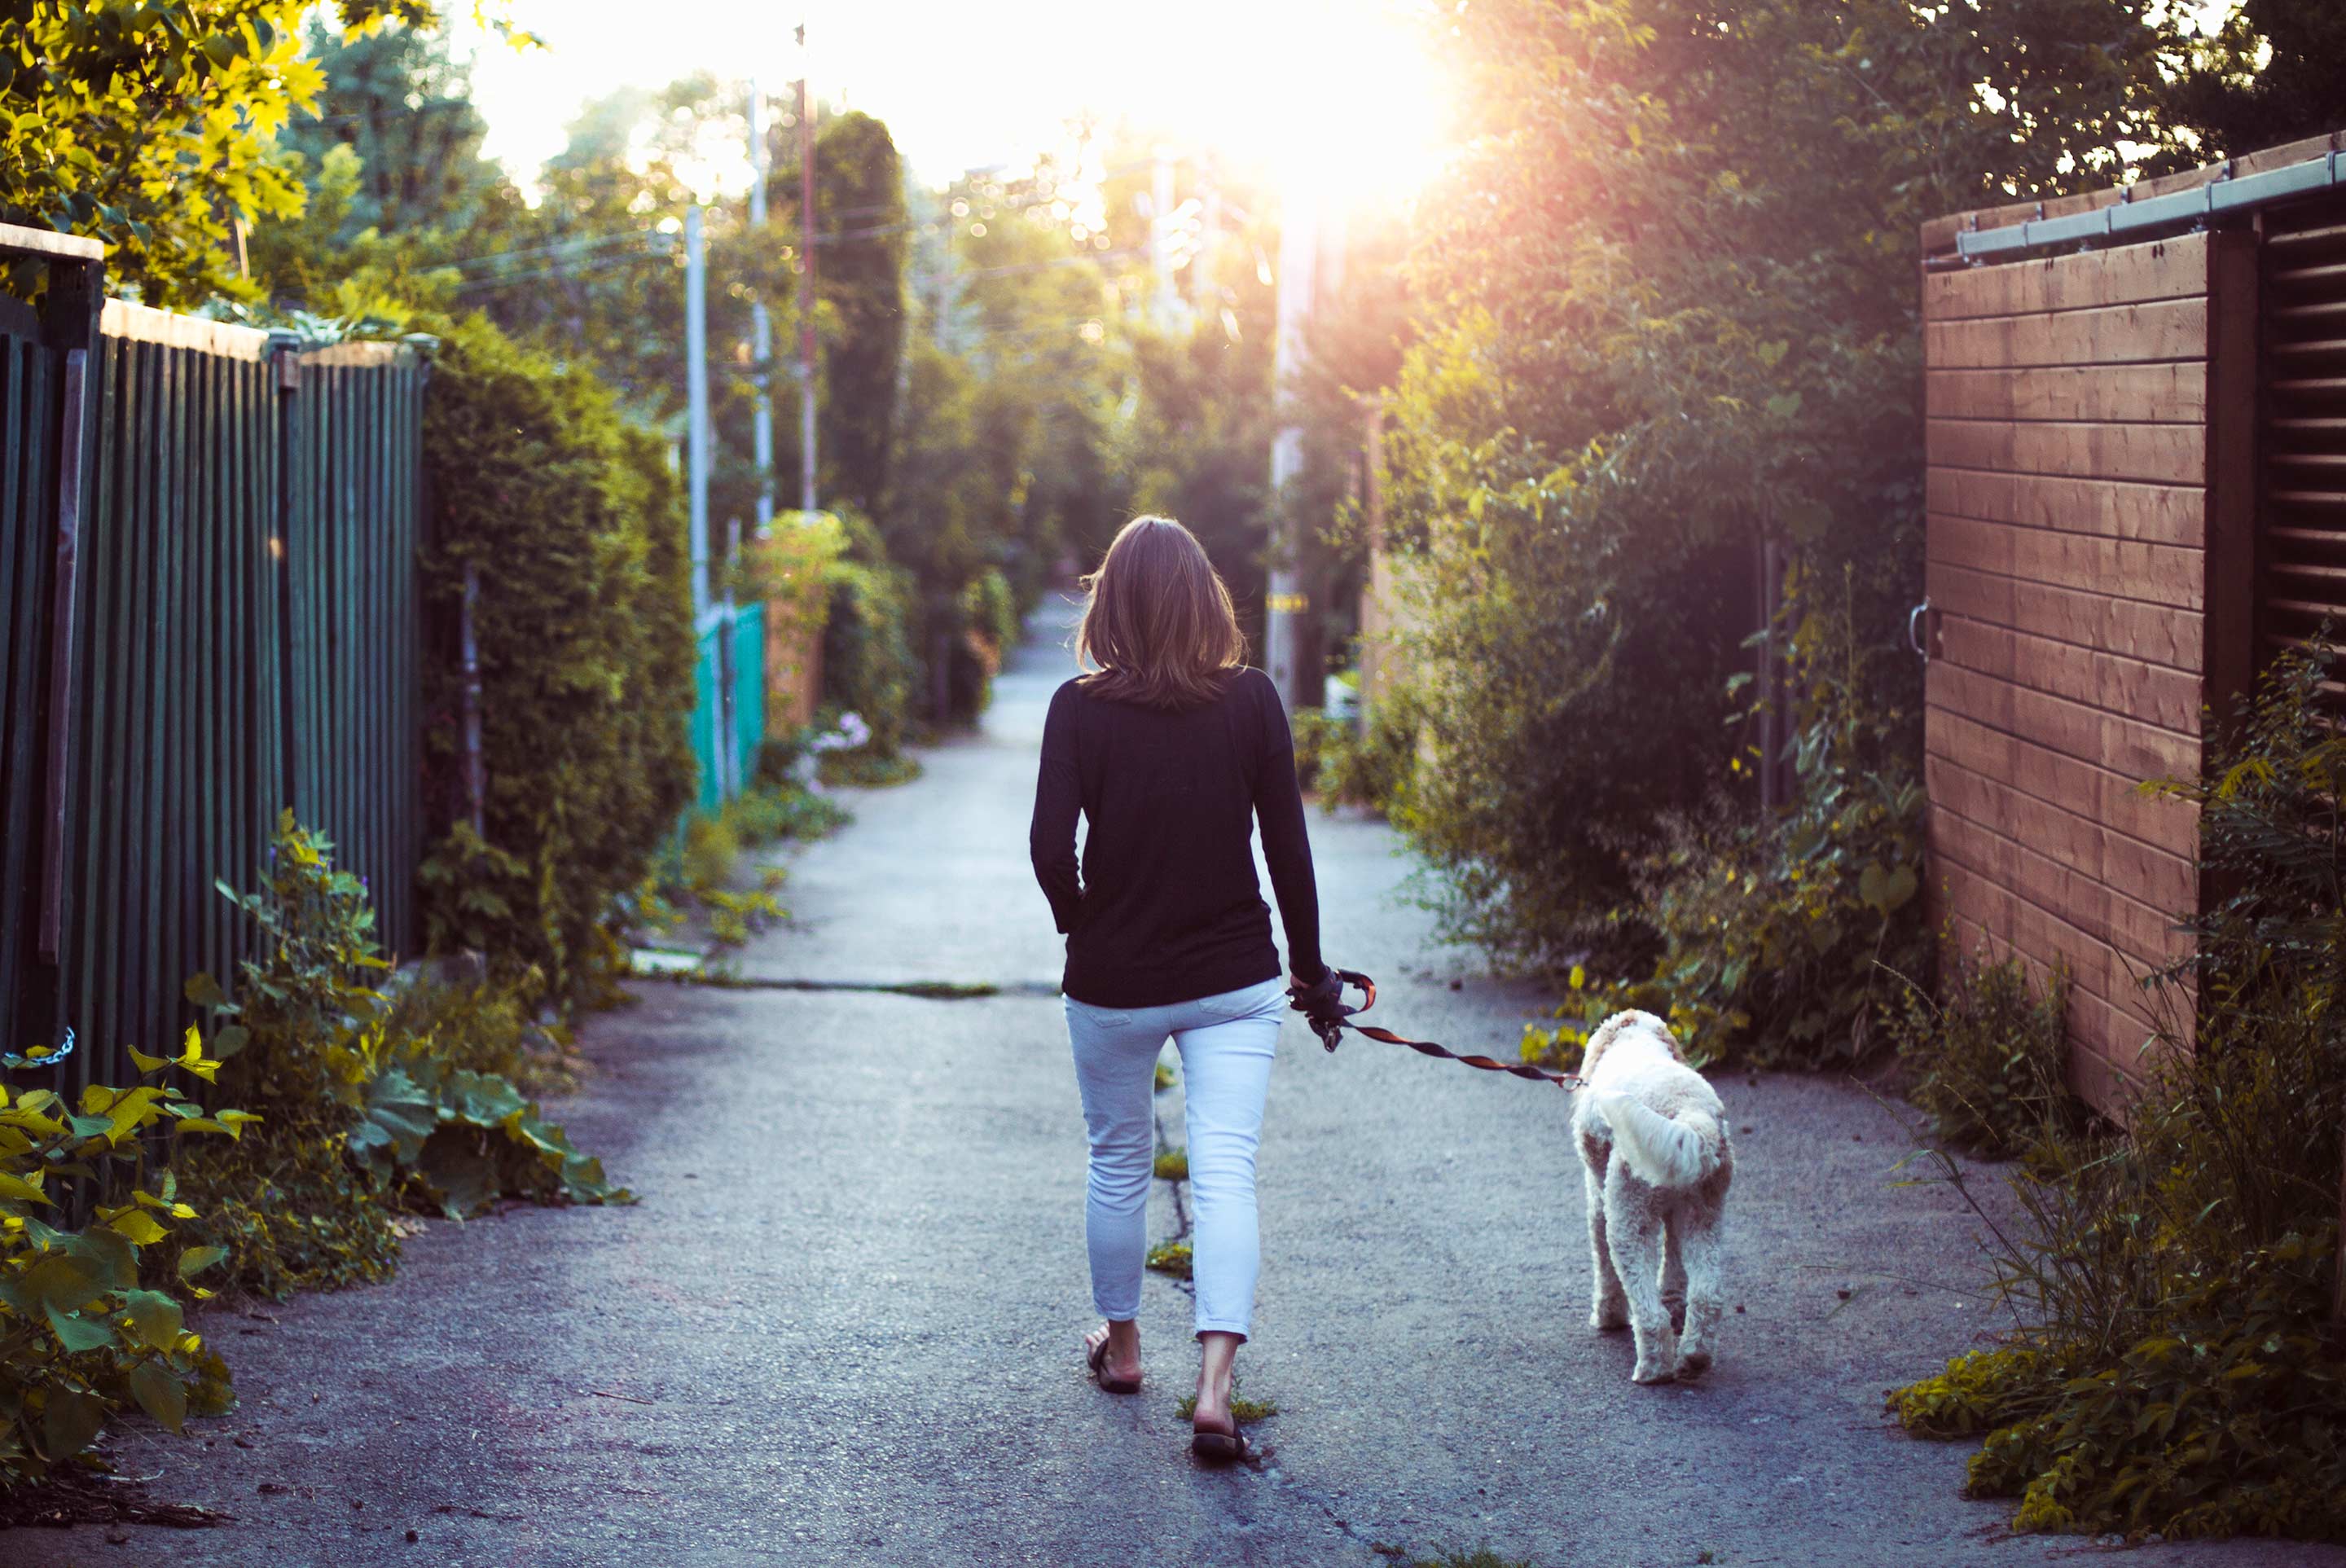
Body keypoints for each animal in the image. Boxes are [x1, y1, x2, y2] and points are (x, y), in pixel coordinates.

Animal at [1566, 1009, 1736, 1380]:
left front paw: (1606, 1316)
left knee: (1649, 1312)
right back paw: (1694, 1358)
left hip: (1628, 1218)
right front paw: (1674, 1303)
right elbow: (1674, 1266)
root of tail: (1689, 1115)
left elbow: (1605, 1270)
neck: (1632, 1035)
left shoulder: (1599, 1203)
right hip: (1705, 1214)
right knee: (1708, 1295)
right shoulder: (1675, 1217)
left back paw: (1652, 1369)